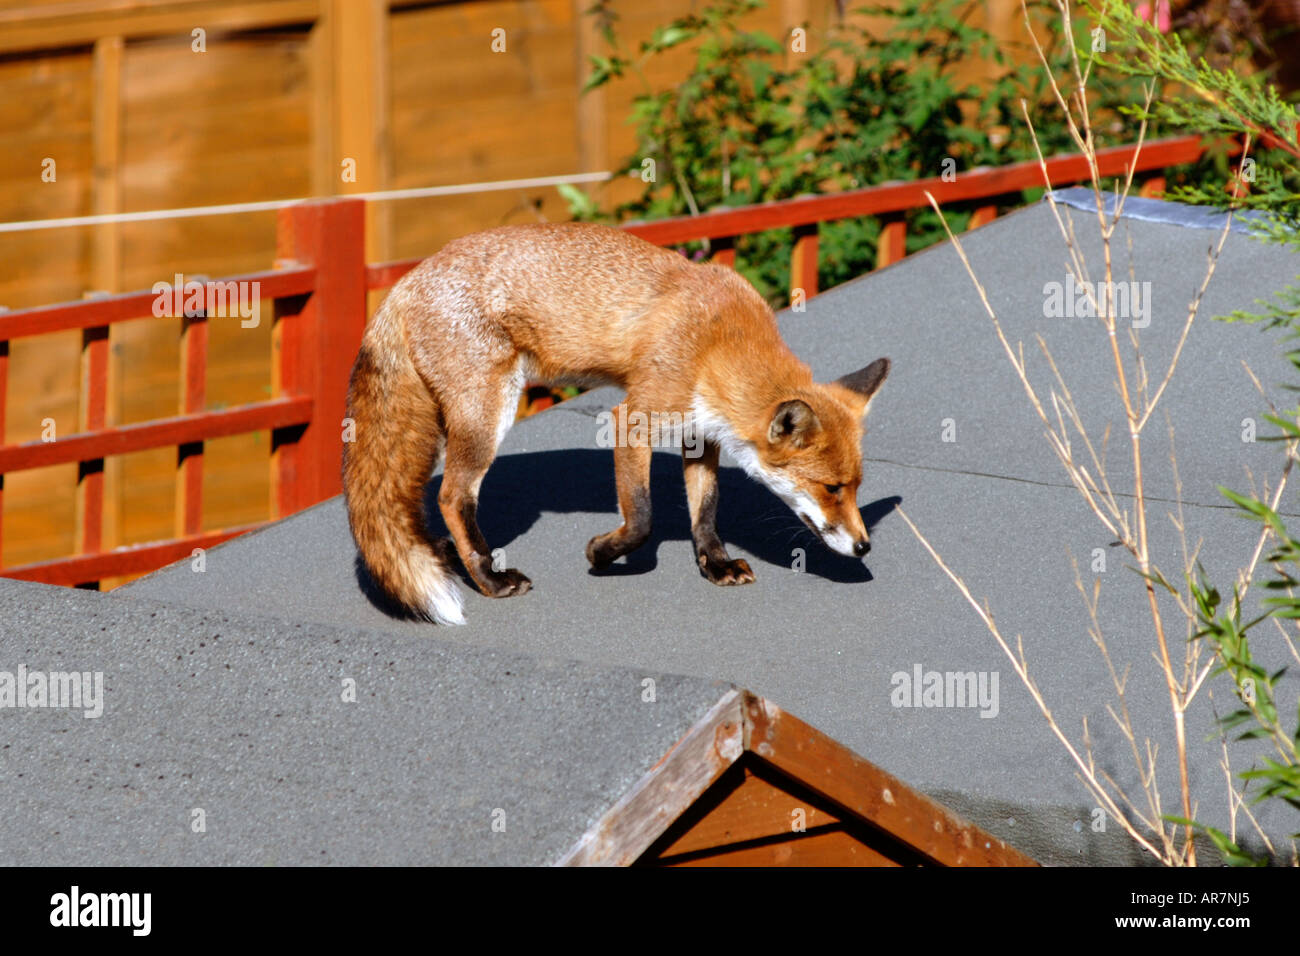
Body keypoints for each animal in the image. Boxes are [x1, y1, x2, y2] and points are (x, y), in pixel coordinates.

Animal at [343, 223, 894, 629]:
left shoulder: (701, 435)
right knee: (452, 497)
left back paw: (444, 555)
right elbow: (644, 516)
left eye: (856, 487)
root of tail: (406, 282)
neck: (717, 344)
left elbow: (706, 510)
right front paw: (603, 553)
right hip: (486, 416)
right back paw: (489, 579)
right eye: (831, 488)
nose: (865, 546)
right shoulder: (633, 419)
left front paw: (715, 564)